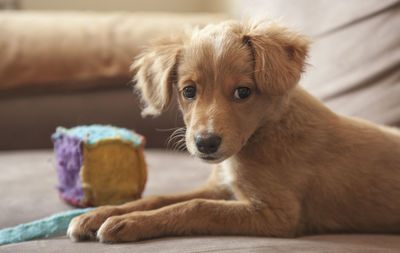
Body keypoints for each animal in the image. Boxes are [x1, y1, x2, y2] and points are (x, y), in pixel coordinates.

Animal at [67, 20, 400, 243]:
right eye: (189, 91)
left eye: (243, 92)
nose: (206, 143)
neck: (267, 130)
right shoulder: (220, 187)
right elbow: (161, 198)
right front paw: (99, 214)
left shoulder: (277, 214)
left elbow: (195, 207)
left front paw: (128, 222)